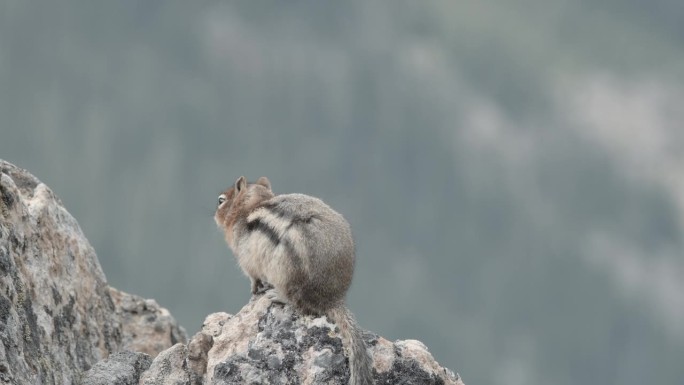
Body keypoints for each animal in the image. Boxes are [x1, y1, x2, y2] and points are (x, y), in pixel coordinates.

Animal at [215, 176, 372, 384]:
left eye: (221, 200)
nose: (214, 216)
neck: (251, 206)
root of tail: (332, 298)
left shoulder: (246, 260)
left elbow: (253, 277)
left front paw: (255, 289)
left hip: (285, 272)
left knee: (297, 302)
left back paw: (277, 295)